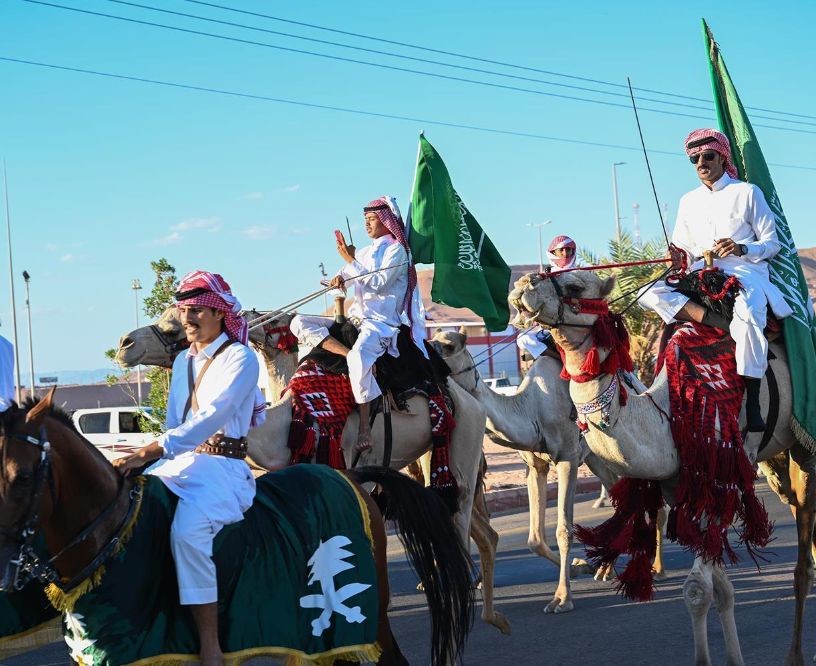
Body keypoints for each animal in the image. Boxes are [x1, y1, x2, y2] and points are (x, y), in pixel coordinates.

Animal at [115, 306, 510, 632]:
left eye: (177, 322)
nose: (124, 343)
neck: (288, 420)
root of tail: (471, 399)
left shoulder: (351, 466)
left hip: (462, 441)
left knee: (459, 516)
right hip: (430, 457)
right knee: (472, 525)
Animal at [510, 268, 816, 664]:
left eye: (577, 285)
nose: (522, 287)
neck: (669, 411)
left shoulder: (723, 477)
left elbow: (698, 589)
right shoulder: (683, 483)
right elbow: (722, 588)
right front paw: (734, 657)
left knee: (803, 560)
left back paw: (796, 653)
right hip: (779, 461)